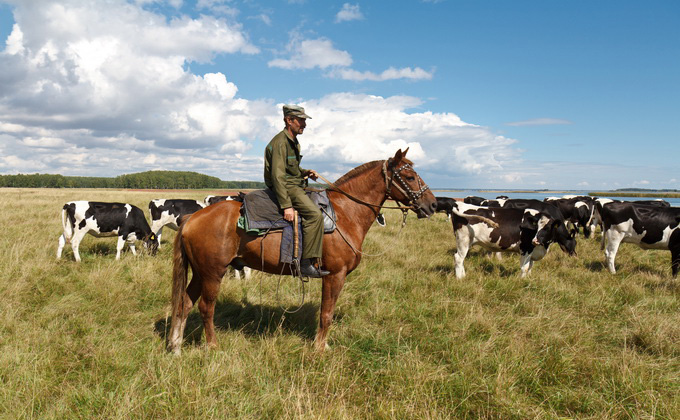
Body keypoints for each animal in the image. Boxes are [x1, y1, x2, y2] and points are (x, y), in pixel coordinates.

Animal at [167, 149, 438, 352]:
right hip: (213, 273)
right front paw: (321, 348)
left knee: (184, 304)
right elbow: (326, 314)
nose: (433, 205)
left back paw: (176, 345)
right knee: (205, 308)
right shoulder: (335, 275)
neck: (345, 213)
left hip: (200, 273)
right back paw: (212, 345)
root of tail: (191, 219)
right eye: (410, 177)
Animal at [448, 201, 576, 278]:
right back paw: (460, 278)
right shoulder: (526, 248)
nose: (535, 240)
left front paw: (528, 279)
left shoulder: (533, 250)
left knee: (461, 259)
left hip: (467, 242)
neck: (543, 247)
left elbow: (530, 266)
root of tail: (459, 204)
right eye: (537, 227)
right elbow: (524, 267)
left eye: (548, 228)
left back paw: (463, 275)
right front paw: (522, 280)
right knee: (458, 258)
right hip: (463, 240)